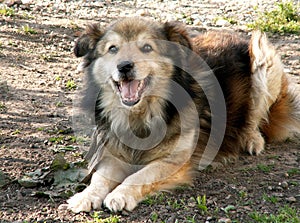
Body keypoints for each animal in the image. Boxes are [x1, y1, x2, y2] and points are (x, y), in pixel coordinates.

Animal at [66, 17, 300, 213]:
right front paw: (85, 196)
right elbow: (99, 178)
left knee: (255, 118)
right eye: (112, 49)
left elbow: (139, 175)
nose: (124, 66)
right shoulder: (113, 154)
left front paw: (120, 194)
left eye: (147, 48)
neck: (142, 114)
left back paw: (251, 139)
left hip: (262, 56)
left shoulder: (173, 161)